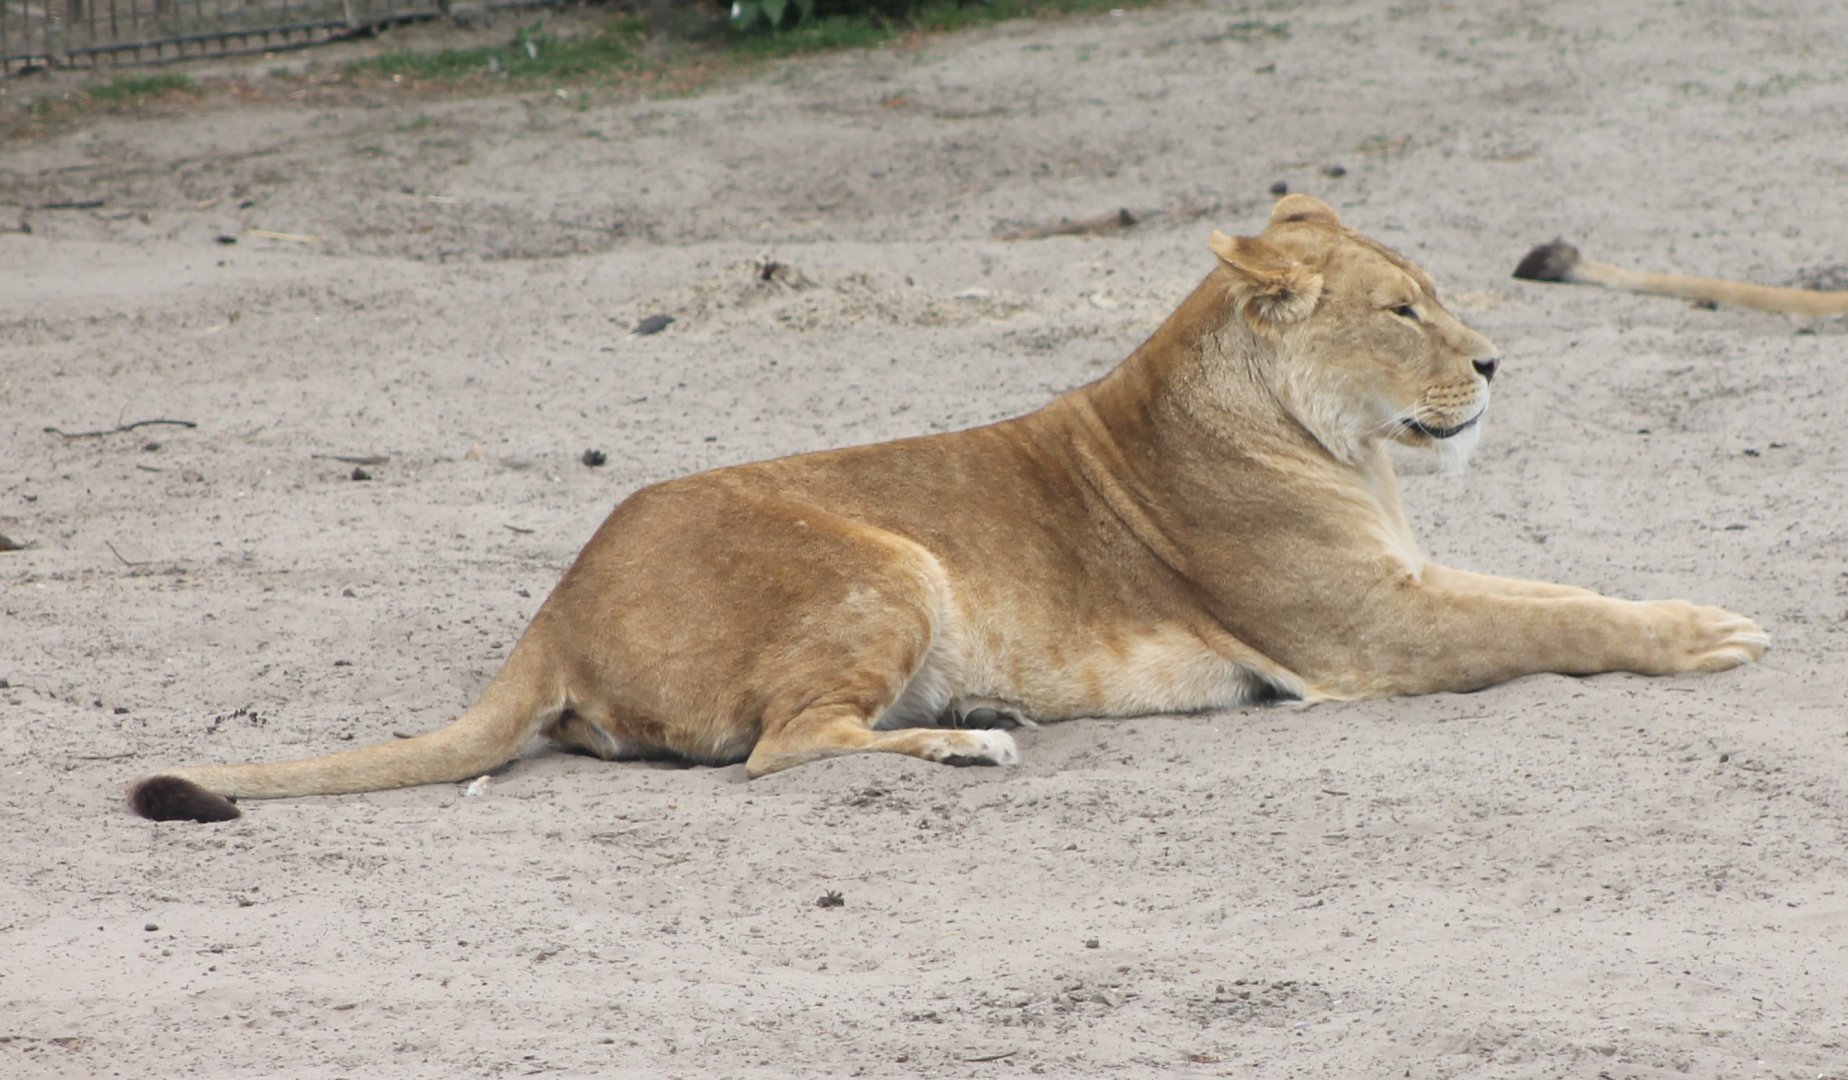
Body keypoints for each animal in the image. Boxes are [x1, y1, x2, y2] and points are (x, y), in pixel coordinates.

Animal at [129, 195, 1768, 822]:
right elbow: (1555, 621)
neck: (1334, 445)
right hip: (887, 562)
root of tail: (554, 607)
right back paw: (969, 741)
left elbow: (1558, 589)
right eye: (1402, 308)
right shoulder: (1365, 639)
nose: (1495, 363)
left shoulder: (1402, 593)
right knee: (783, 752)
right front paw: (1711, 638)